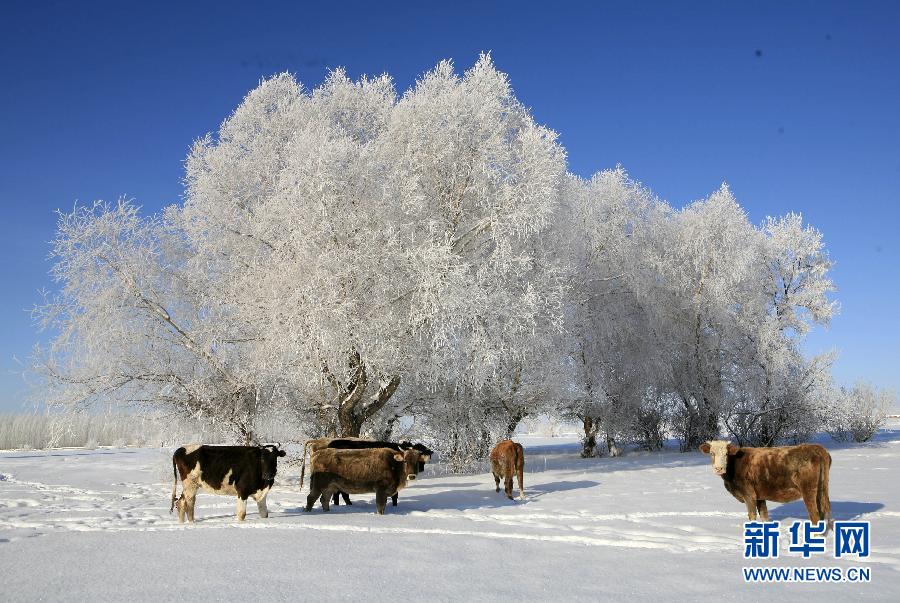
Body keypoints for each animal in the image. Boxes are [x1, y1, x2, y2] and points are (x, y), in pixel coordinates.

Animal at [298, 438, 432, 510]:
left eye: (417, 461)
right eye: (405, 461)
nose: (412, 476)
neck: (393, 462)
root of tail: (317, 453)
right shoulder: (381, 490)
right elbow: (384, 504)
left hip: (330, 487)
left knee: (325, 499)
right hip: (318, 485)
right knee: (311, 498)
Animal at [700, 438, 832, 528]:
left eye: (726, 454)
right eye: (712, 453)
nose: (719, 468)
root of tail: (816, 448)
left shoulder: (749, 495)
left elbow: (752, 516)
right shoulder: (760, 496)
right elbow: (764, 515)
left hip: (808, 491)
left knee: (815, 516)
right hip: (821, 490)